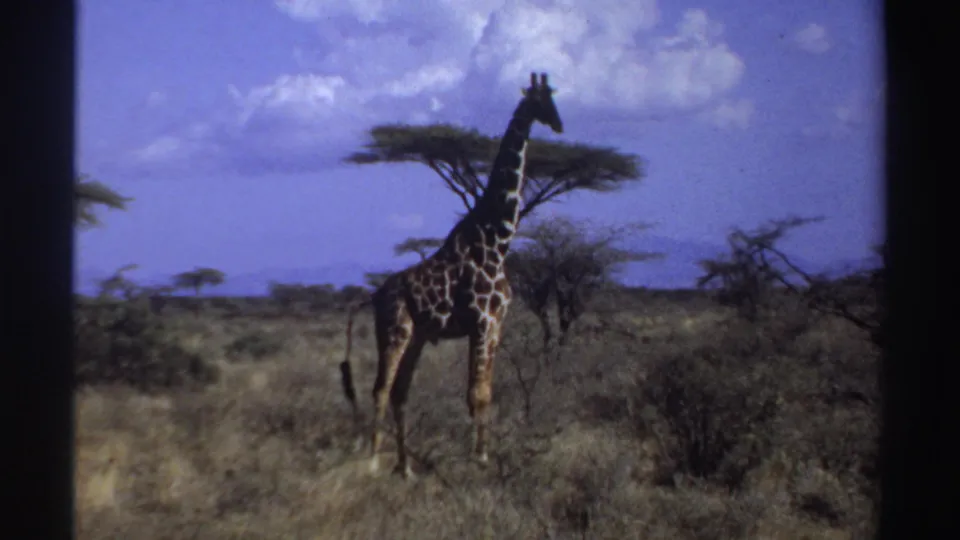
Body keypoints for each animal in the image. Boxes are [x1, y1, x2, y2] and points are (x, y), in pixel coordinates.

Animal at [340, 72, 564, 478]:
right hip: (395, 331)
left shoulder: (496, 324)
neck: (497, 239)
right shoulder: (481, 322)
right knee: (380, 389)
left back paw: (405, 467)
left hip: (416, 337)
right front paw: (477, 458)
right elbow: (474, 394)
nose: (559, 124)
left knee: (400, 393)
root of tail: (374, 295)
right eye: (540, 100)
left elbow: (486, 392)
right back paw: (374, 462)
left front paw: (484, 454)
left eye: (554, 97)